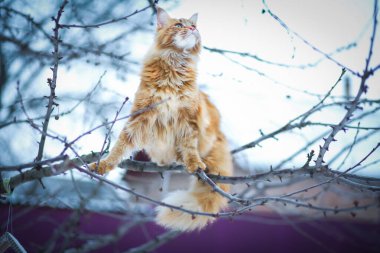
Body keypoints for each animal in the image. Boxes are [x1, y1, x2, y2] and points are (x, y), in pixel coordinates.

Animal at [90, 6, 233, 231]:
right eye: (179, 25)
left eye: (194, 25)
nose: (193, 28)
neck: (174, 68)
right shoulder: (140, 116)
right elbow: (119, 147)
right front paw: (104, 164)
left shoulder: (189, 120)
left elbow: (190, 147)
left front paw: (194, 163)